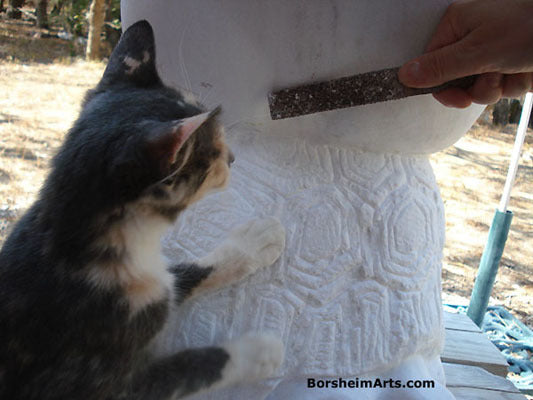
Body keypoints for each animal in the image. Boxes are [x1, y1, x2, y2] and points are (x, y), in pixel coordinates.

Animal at [0, 20, 286, 398]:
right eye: (211, 153)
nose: (233, 158)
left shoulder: (157, 284)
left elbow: (180, 276)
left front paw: (254, 242)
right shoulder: (104, 384)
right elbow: (190, 368)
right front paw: (259, 351)